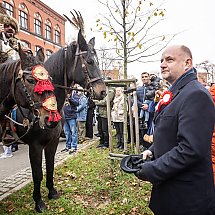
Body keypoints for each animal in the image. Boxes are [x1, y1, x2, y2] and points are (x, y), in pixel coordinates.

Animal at [14, 29, 106, 212]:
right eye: (90, 61)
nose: (103, 92)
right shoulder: (35, 146)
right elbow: (37, 174)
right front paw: (38, 201)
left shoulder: (53, 142)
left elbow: (49, 168)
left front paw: (52, 192)